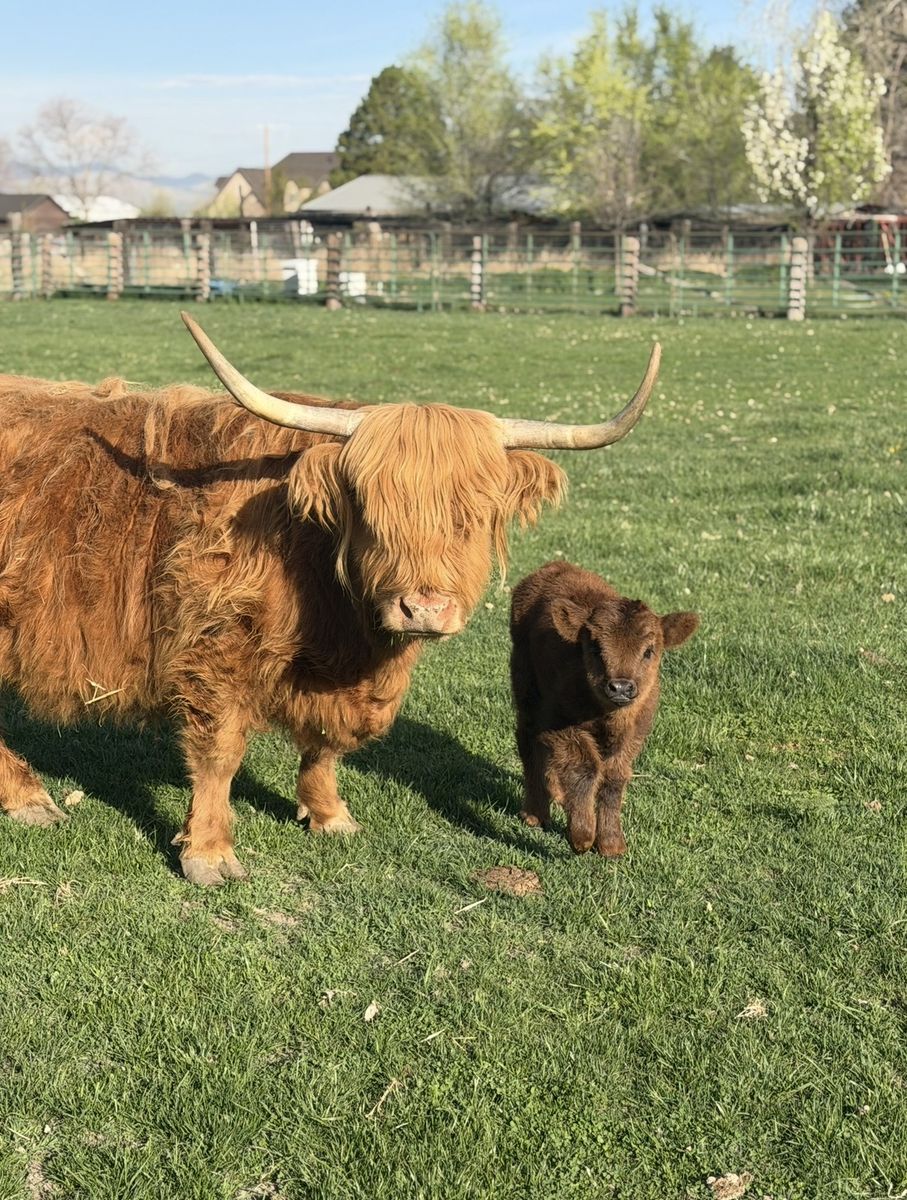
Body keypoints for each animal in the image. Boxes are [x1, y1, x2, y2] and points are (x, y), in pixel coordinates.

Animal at [0, 314, 660, 884]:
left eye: (471, 515)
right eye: (370, 509)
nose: (423, 610)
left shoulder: (346, 680)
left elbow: (328, 743)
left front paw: (328, 814)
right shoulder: (215, 649)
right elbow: (219, 752)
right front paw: (209, 853)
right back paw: (31, 797)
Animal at [510, 560, 698, 857]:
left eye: (649, 650)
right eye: (595, 648)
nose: (620, 687)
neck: (608, 717)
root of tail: (553, 567)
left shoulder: (634, 735)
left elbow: (613, 777)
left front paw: (612, 844)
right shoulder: (558, 724)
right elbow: (586, 768)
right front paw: (583, 837)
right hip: (526, 692)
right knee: (528, 743)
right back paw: (535, 813)